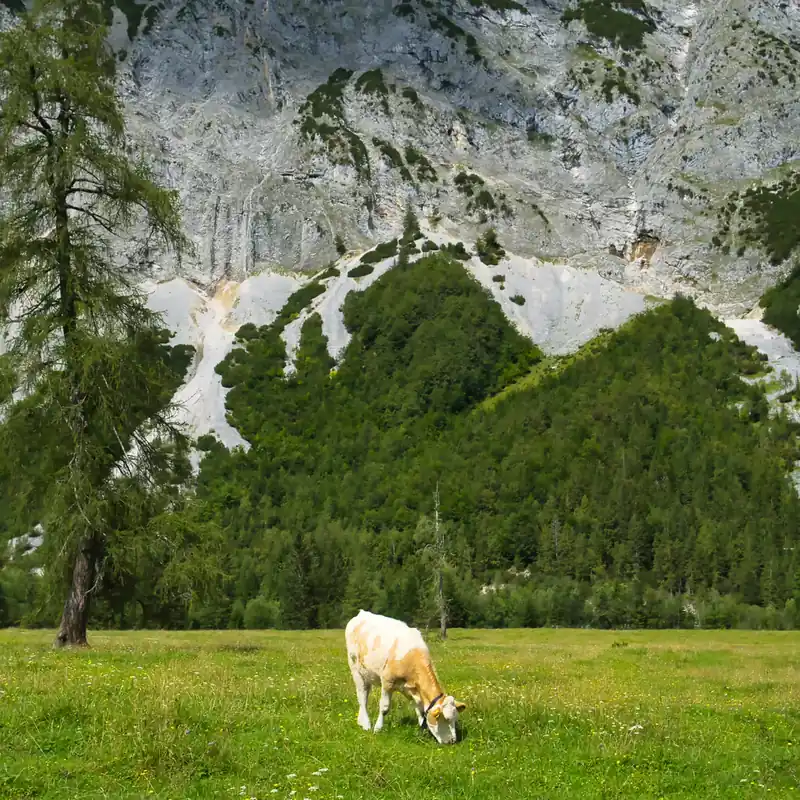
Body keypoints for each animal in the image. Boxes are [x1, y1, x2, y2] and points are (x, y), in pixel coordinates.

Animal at [344, 609, 466, 744]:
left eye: (455, 719)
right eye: (445, 718)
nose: (452, 741)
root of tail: (361, 613)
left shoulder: (412, 689)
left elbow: (420, 709)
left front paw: (423, 730)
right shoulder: (387, 681)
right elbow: (384, 707)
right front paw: (377, 728)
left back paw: (360, 722)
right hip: (356, 670)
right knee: (362, 697)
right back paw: (366, 724)